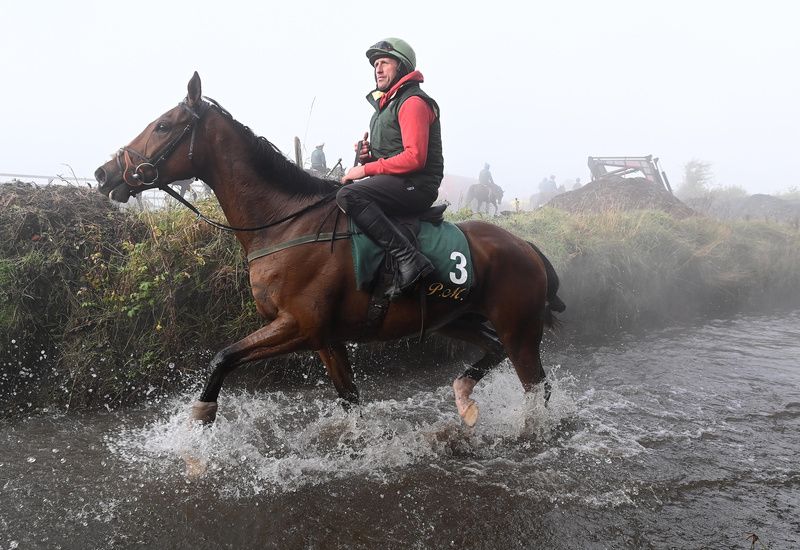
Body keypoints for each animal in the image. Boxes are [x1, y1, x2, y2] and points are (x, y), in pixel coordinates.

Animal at [94, 73, 564, 430]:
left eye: (163, 126)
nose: (103, 173)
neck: (283, 223)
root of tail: (526, 246)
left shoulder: (299, 326)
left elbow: (222, 358)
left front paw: (201, 419)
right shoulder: (325, 339)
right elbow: (349, 398)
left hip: (520, 329)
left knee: (536, 385)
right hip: (455, 318)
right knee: (494, 350)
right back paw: (464, 397)